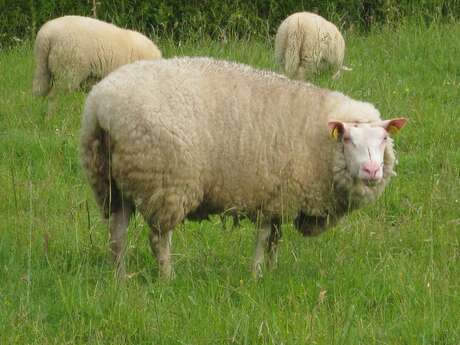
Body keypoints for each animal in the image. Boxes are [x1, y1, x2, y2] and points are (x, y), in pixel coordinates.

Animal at [79, 55, 406, 276]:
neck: (319, 141)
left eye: (384, 138)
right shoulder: (270, 194)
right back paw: (167, 277)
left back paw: (120, 277)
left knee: (117, 233)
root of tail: (101, 106)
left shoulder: (279, 199)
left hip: (109, 181)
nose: (372, 171)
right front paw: (257, 274)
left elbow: (275, 239)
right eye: (348, 139)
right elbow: (263, 239)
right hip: (164, 181)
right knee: (159, 238)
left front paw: (272, 272)